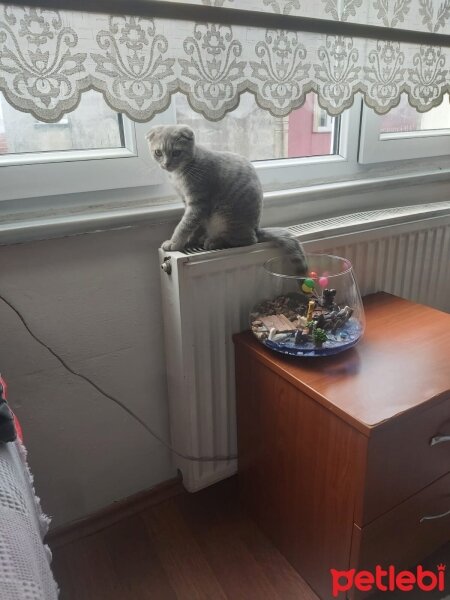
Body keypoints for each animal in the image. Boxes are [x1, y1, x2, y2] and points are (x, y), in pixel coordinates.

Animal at [146, 124, 308, 274]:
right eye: (158, 152)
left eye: (176, 152)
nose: (166, 164)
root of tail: (256, 229)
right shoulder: (189, 204)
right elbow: (194, 226)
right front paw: (190, 239)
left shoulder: (198, 203)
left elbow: (184, 225)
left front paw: (175, 242)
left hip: (225, 217)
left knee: (247, 240)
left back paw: (214, 241)